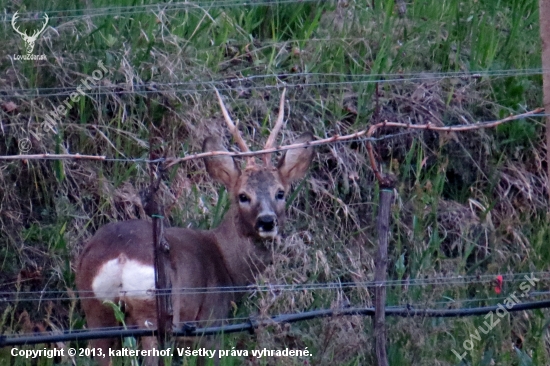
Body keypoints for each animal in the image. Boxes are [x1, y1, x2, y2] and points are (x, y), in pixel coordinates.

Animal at [75, 89, 314, 366]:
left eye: (280, 193)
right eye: (243, 196)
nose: (266, 221)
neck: (228, 265)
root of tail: (121, 257)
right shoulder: (211, 322)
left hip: (95, 309)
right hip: (156, 312)